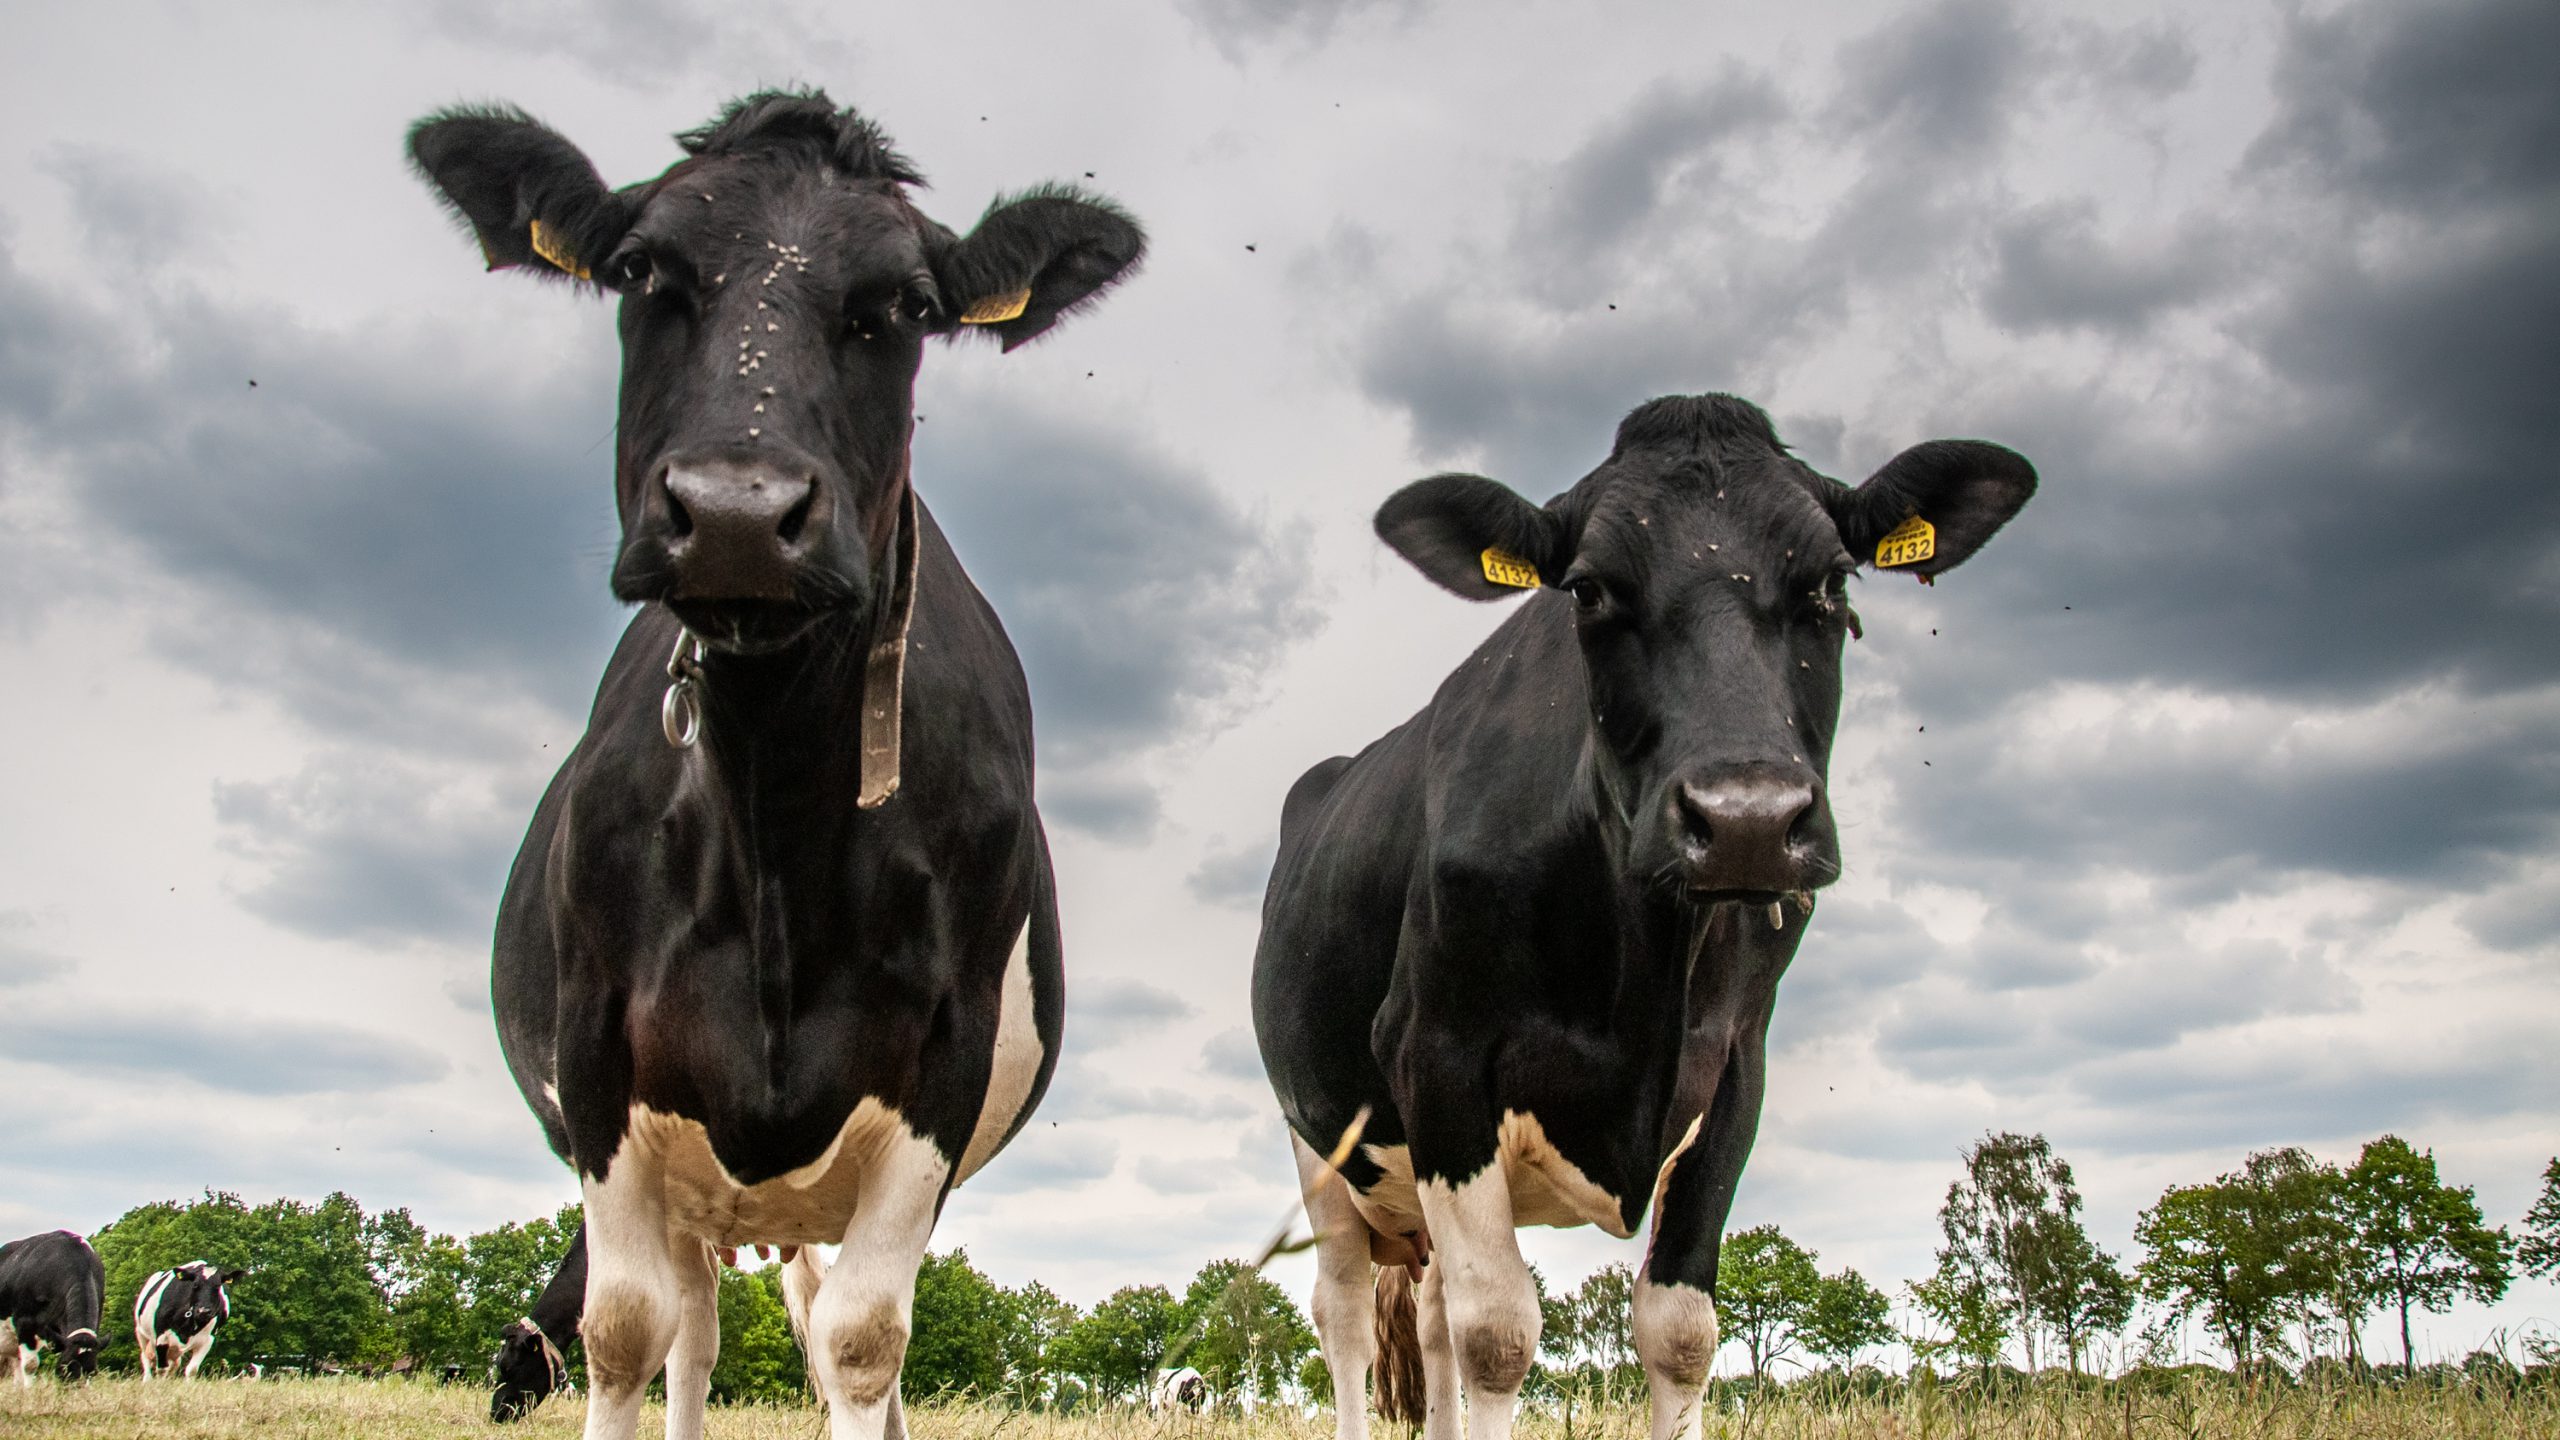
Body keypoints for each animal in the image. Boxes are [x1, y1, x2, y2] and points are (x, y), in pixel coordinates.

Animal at [133, 1255, 244, 1383]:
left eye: (217, 1286)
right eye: (195, 1285)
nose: (203, 1311)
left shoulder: (208, 1340)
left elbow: (192, 1370)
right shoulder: (161, 1336)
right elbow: (161, 1369)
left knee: (174, 1364)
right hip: (141, 1333)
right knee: (146, 1357)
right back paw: (147, 1380)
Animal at [412, 92, 1141, 1434]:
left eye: (905, 304)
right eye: (639, 270)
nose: (738, 514)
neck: (774, 810)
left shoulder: (936, 1072)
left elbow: (860, 1342)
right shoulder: (601, 1060)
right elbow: (620, 1331)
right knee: (690, 1332)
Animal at [1249, 389, 2027, 1434]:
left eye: (1833, 580)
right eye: (1586, 589)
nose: (1746, 820)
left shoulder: (1734, 1067)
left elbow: (1679, 1331)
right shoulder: (1434, 1052)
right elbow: (1501, 1334)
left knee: (1435, 1315)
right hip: (1321, 1146)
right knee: (1344, 1313)